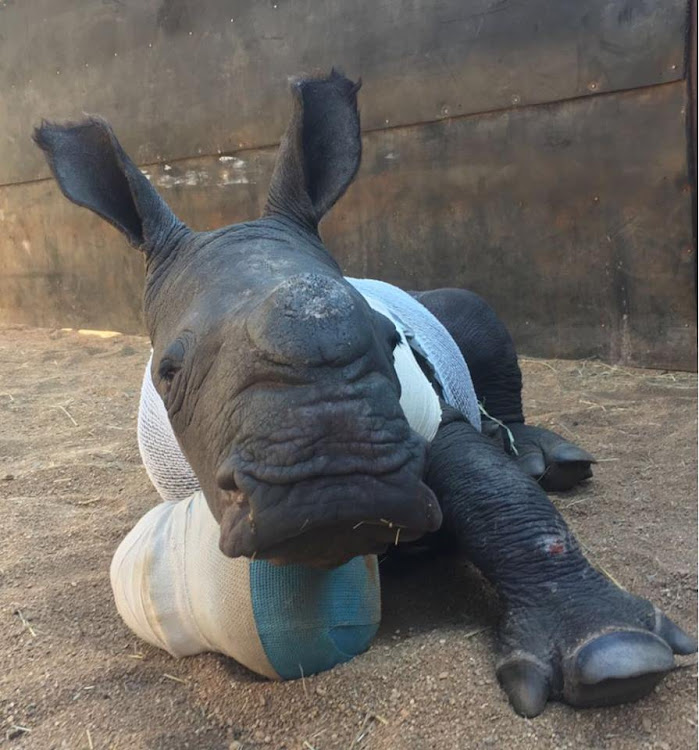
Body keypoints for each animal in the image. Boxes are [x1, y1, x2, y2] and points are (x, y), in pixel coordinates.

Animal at [37, 72, 696, 724]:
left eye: (389, 337)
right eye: (168, 371)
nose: (338, 484)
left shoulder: (426, 418)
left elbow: (497, 492)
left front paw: (616, 657)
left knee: (473, 317)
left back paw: (543, 461)